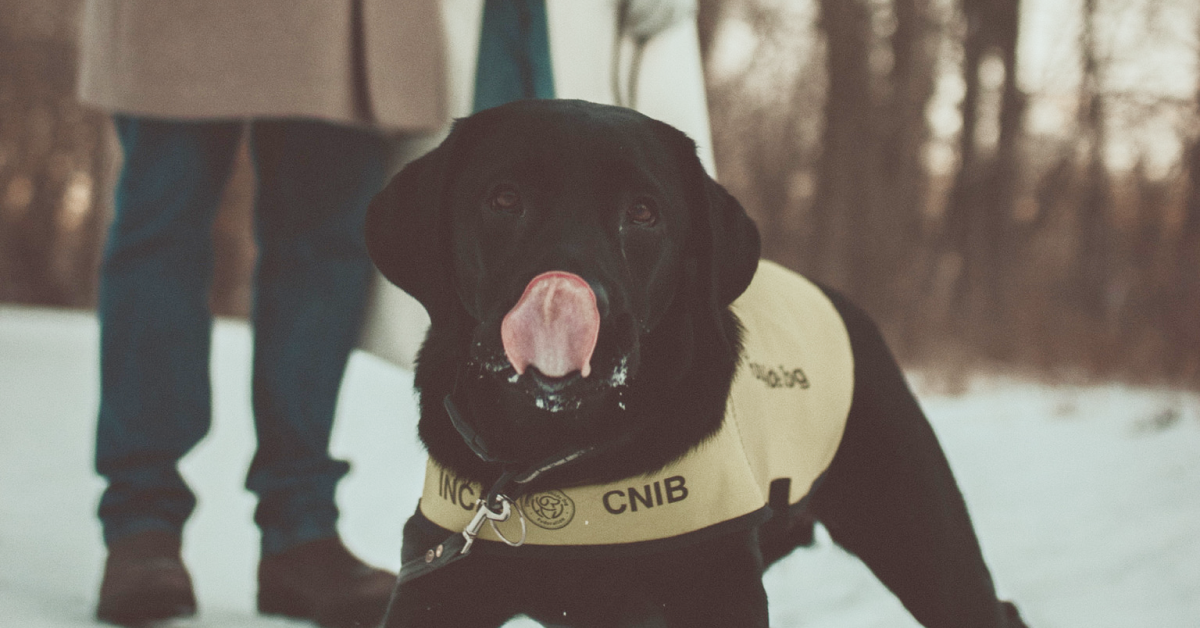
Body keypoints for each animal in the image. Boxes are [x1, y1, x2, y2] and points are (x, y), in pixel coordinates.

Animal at [362, 100, 1022, 624]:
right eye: (504, 199)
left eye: (643, 212)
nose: (573, 302)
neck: (551, 457)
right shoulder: (439, 578)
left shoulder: (717, 589)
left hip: (919, 534)